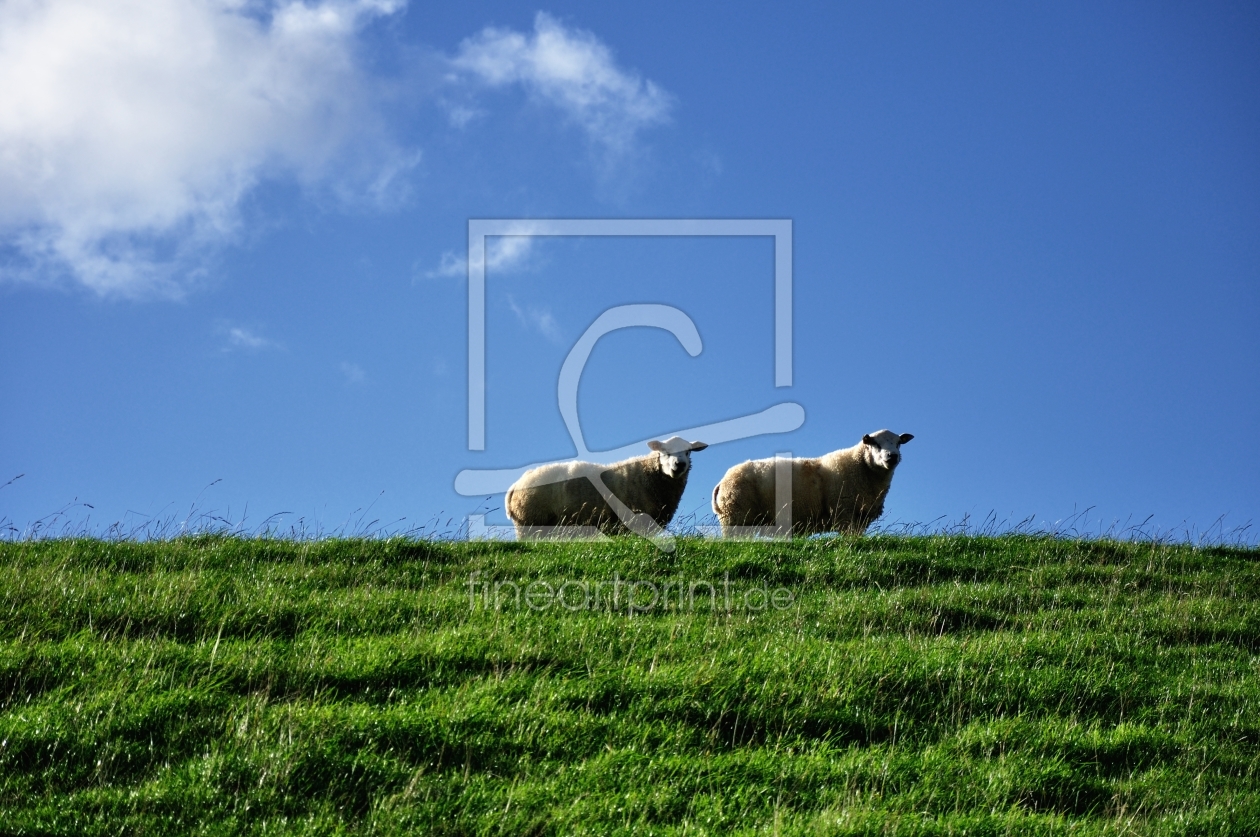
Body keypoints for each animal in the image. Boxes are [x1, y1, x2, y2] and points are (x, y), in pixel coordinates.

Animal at [710, 431, 917, 536]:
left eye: (898, 443)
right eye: (875, 444)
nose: (893, 456)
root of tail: (722, 481)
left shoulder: (860, 517)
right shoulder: (843, 511)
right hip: (735, 516)